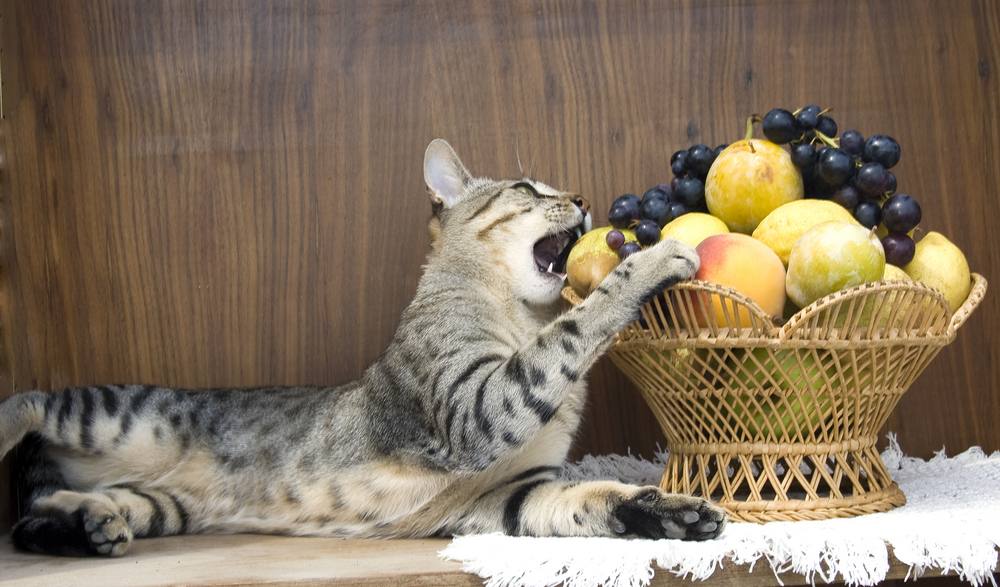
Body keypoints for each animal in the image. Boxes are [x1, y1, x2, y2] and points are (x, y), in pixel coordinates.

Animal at [0, 140, 728, 560]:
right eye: (526, 189)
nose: (581, 197)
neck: (519, 313)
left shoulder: (510, 494)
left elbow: (592, 495)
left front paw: (670, 511)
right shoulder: (476, 407)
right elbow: (573, 330)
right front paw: (652, 258)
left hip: (159, 502)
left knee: (37, 510)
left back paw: (85, 523)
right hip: (116, 413)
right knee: (30, 402)